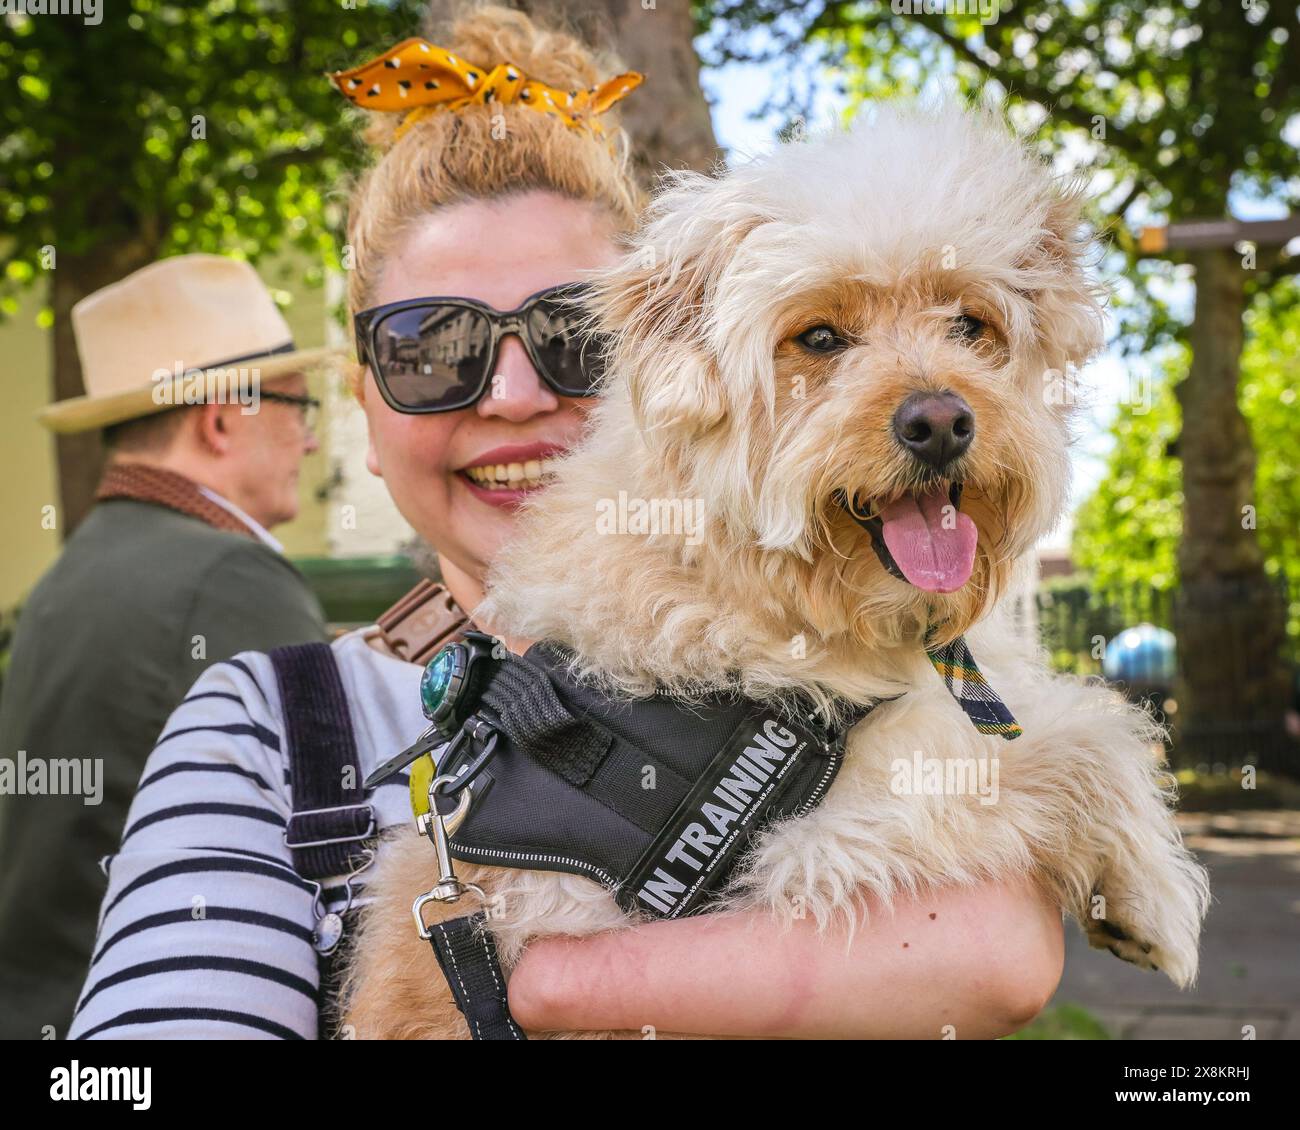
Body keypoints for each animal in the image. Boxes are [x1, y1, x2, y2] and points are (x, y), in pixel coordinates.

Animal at [343, 101, 1206, 1035]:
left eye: (970, 325)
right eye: (819, 337)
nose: (941, 422)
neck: (743, 576)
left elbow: (1083, 726)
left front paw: (1141, 893)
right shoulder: (796, 853)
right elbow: (1066, 746)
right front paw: (1155, 900)